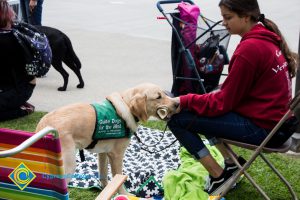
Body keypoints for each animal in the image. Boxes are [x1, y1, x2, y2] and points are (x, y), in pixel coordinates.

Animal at [35, 82, 178, 194]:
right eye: (158, 97)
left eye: (164, 93)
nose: (177, 103)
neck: (126, 104)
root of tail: (43, 125)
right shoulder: (116, 155)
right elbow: (118, 178)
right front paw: (123, 194)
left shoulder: (103, 153)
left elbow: (103, 175)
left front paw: (107, 189)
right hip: (68, 164)